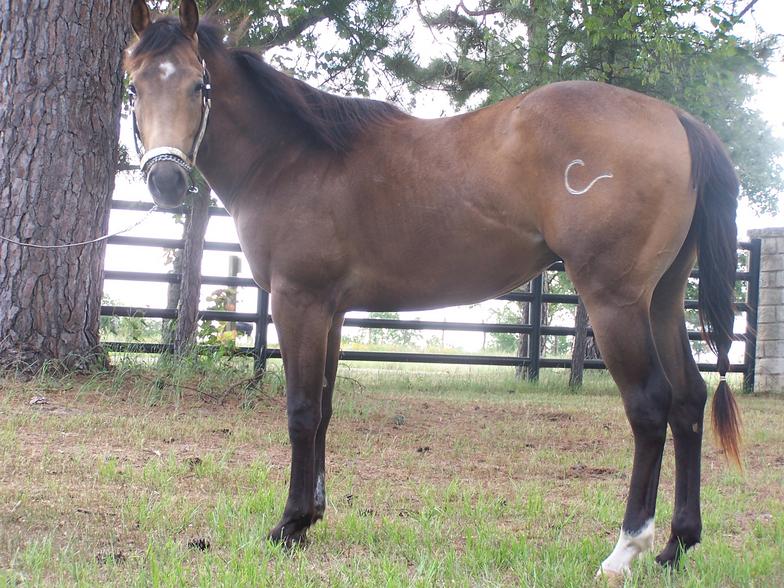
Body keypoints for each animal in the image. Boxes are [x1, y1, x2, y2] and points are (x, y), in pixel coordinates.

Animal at [125, 0, 742, 577]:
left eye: (198, 84)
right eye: (135, 85)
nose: (166, 181)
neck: (294, 157)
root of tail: (676, 117)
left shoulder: (298, 301)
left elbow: (300, 410)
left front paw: (288, 524)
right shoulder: (330, 311)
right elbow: (324, 407)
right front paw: (311, 517)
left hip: (615, 302)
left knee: (650, 406)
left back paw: (625, 550)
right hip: (661, 301)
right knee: (688, 400)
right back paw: (676, 546)